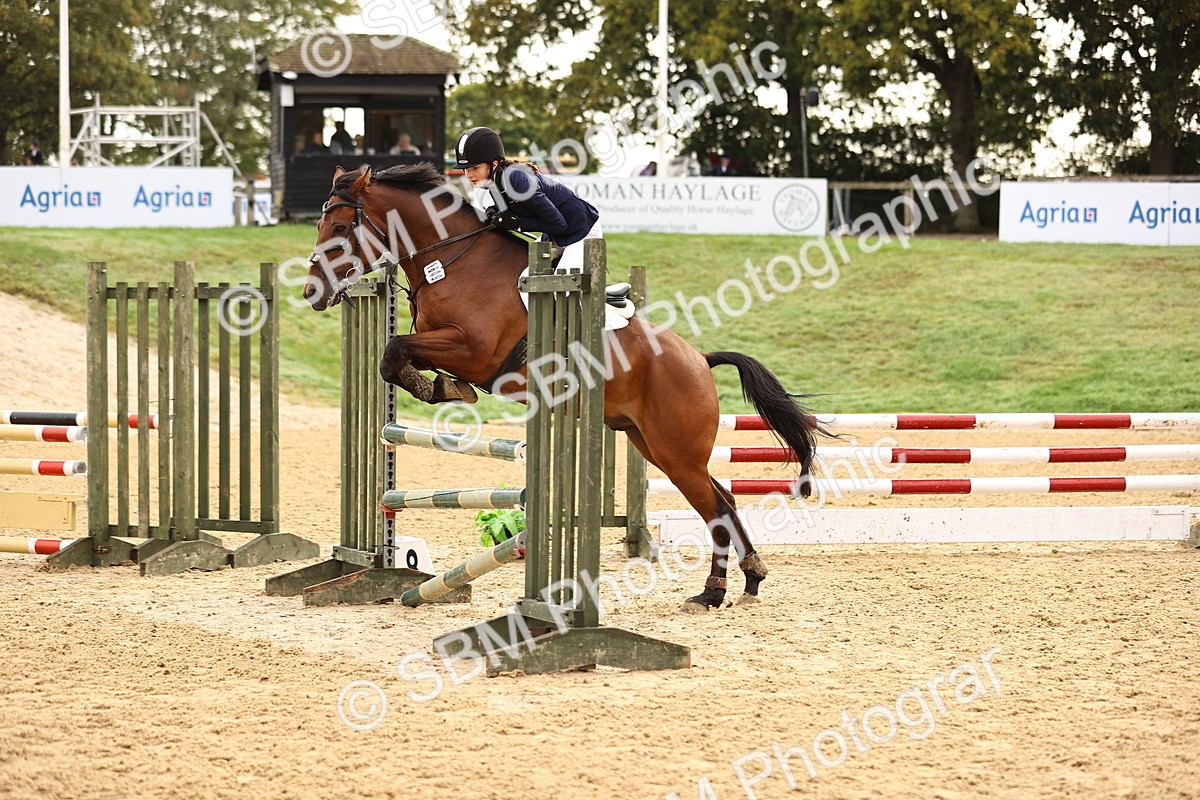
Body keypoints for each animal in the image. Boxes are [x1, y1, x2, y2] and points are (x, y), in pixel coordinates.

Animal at [303, 164, 830, 611]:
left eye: (340, 228)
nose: (312, 292)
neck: (452, 260)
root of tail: (699, 360)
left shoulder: (474, 350)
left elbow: (395, 352)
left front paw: (445, 390)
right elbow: (395, 355)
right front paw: (442, 387)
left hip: (676, 451)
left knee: (717, 505)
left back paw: (713, 592)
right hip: (652, 444)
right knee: (724, 501)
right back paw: (749, 577)